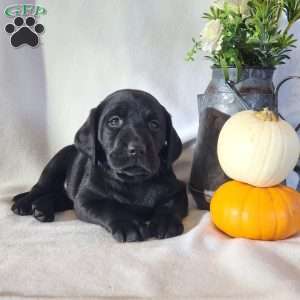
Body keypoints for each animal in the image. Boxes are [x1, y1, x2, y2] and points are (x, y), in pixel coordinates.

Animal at [11, 88, 188, 241]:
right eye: (114, 121)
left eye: (154, 124)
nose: (137, 149)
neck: (134, 181)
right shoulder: (86, 200)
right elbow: (110, 208)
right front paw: (130, 224)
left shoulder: (177, 190)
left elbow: (170, 205)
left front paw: (165, 222)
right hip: (54, 166)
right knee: (39, 188)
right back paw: (24, 204)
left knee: (60, 197)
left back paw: (42, 208)